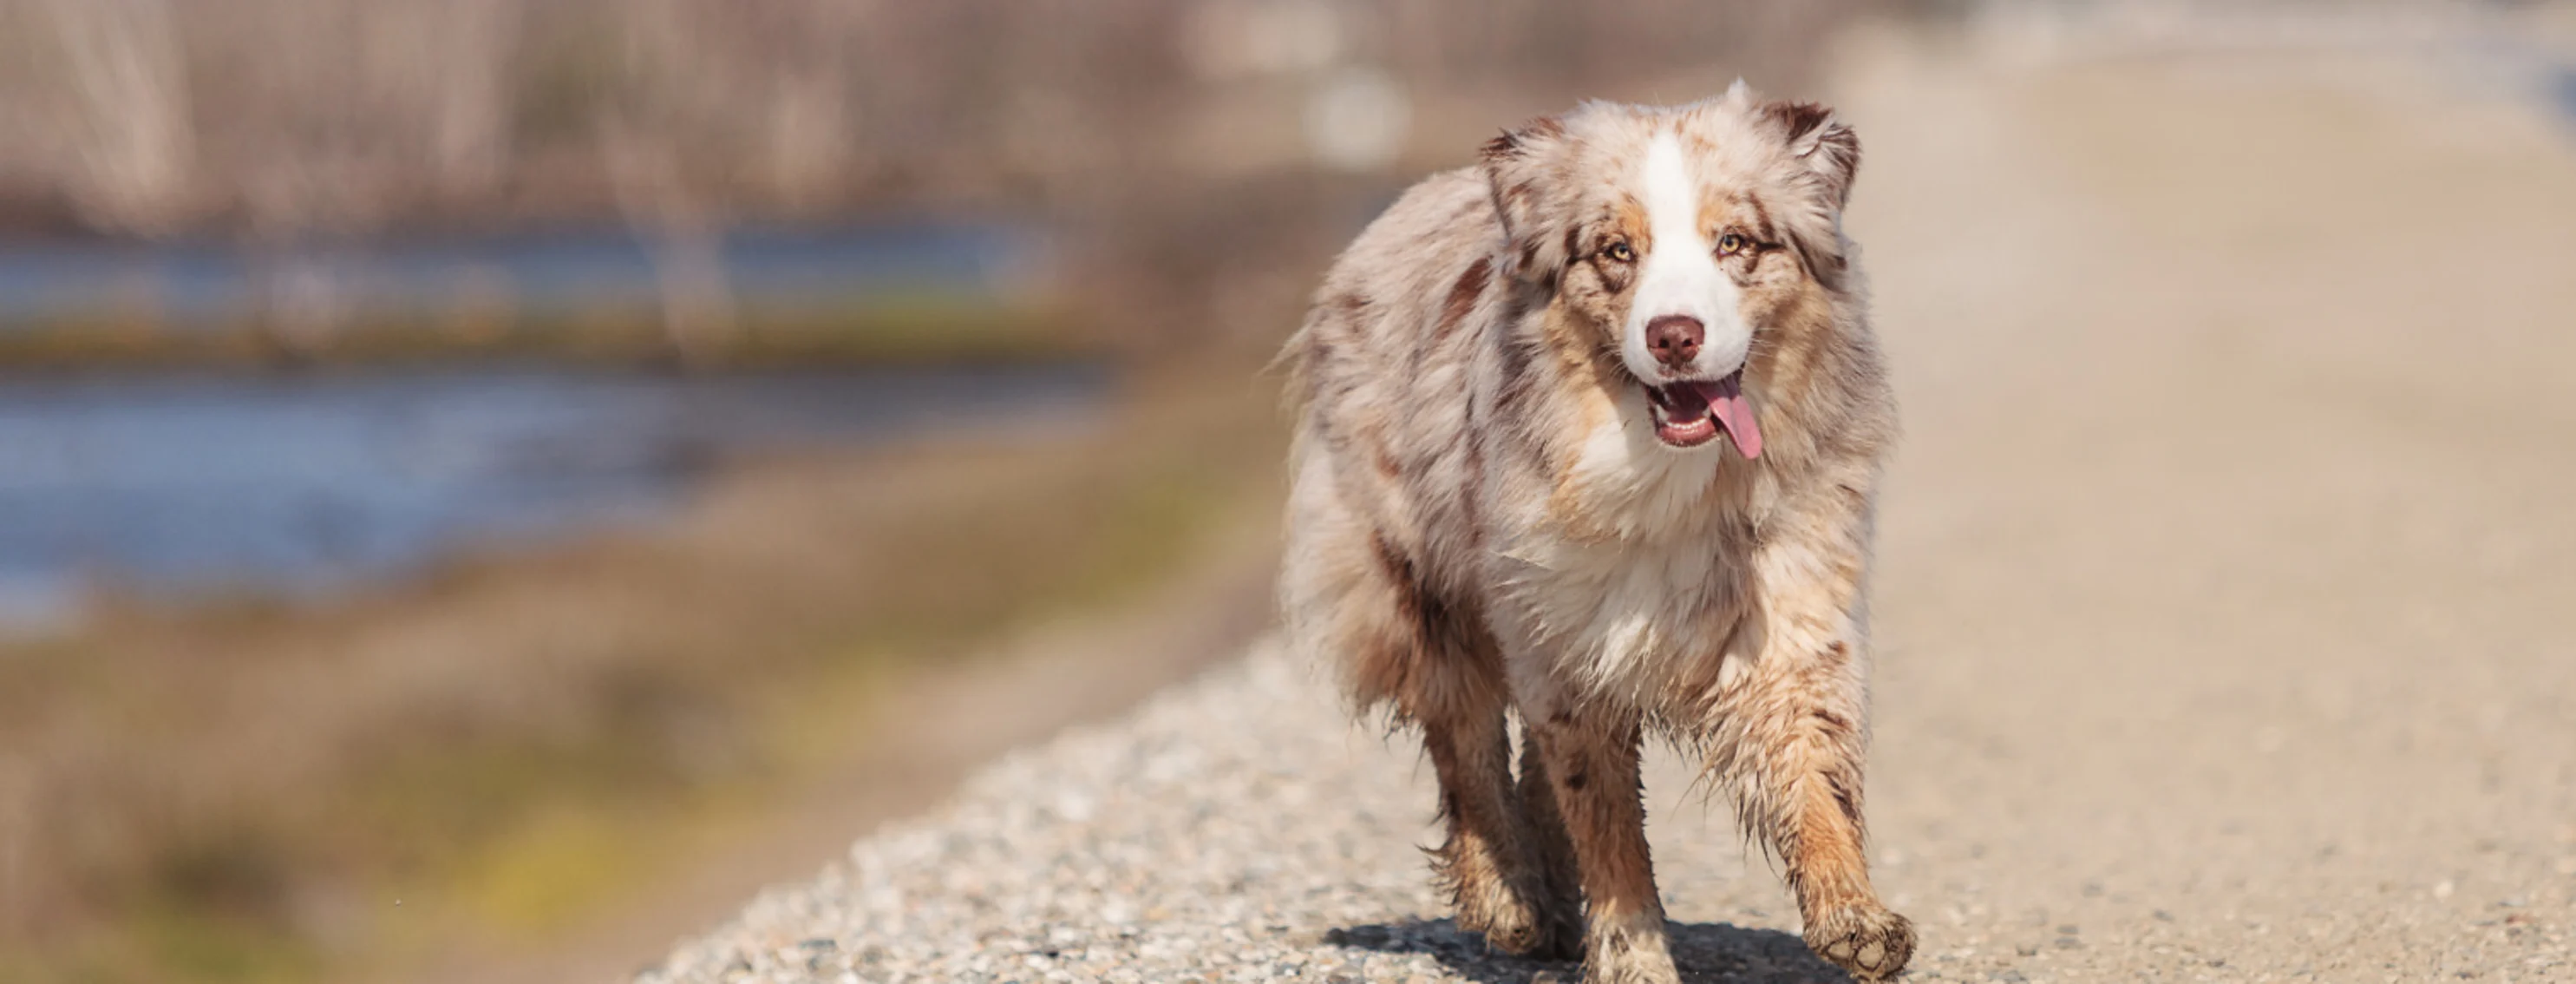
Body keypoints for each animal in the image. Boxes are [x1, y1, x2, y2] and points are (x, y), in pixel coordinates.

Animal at [1278, 86, 1906, 984]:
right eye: (1616, 251)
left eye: (1734, 242)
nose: (1673, 335)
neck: (1671, 473)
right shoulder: (1565, 644)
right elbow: (1606, 827)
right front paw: (1632, 956)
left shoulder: (1779, 605)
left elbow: (1807, 765)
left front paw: (1851, 911)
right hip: (1423, 577)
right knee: (1463, 735)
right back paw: (1506, 895)